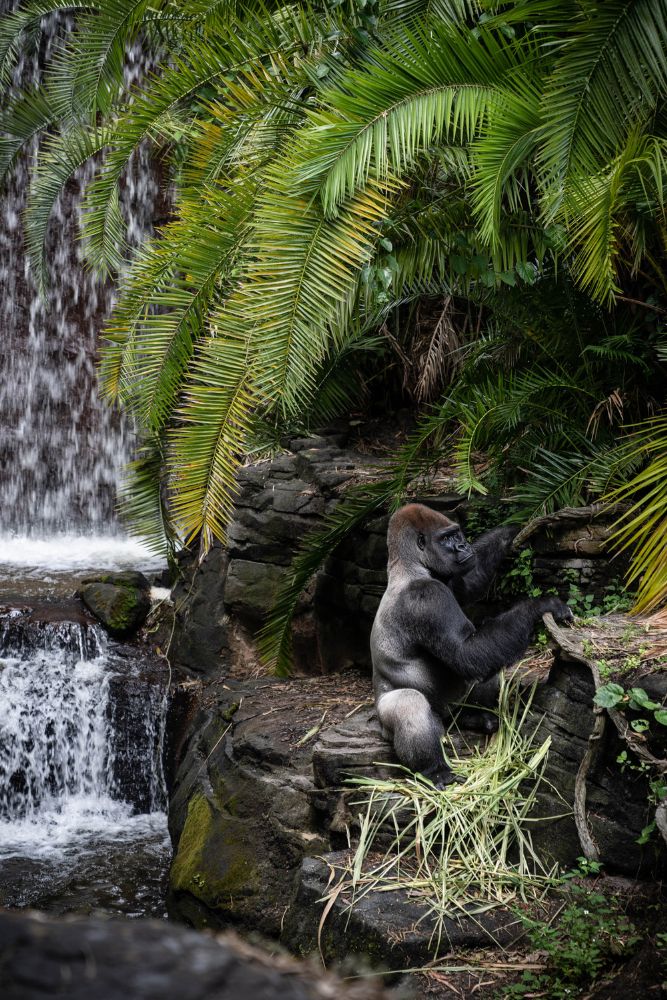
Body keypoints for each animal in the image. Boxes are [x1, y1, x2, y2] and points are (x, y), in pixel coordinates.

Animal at [370, 503, 573, 787]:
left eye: (457, 534)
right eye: (446, 538)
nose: (463, 545)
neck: (408, 567)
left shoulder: (450, 579)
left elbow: (468, 584)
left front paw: (512, 530)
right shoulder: (428, 597)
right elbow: (466, 654)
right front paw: (540, 606)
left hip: (455, 709)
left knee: (492, 662)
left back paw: (475, 717)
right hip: (389, 720)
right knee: (410, 704)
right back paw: (435, 770)